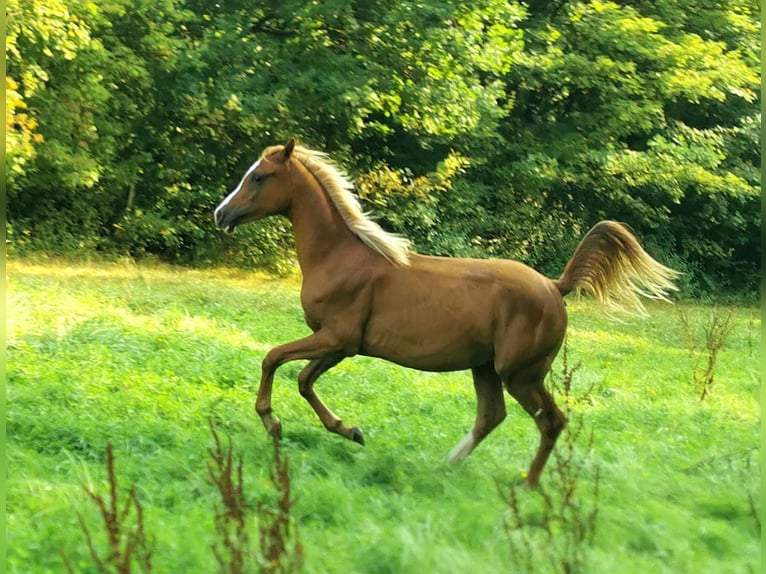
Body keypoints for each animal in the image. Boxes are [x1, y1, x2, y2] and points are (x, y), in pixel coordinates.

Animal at [214, 138, 680, 486]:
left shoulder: (336, 338)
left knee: (551, 421)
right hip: (486, 368)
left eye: (259, 176)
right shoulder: (340, 346)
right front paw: (351, 430)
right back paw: (447, 465)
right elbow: (304, 381)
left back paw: (527, 485)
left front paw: (273, 423)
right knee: (492, 416)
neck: (341, 256)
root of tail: (555, 286)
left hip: (521, 373)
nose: (221, 213)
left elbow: (273, 358)